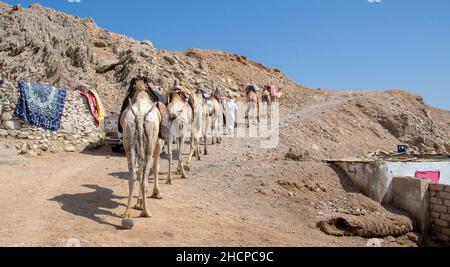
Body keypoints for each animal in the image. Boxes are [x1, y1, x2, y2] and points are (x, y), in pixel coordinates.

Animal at [119, 77, 162, 220]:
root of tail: (140, 115)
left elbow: (139, 170)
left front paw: (137, 202)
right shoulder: (159, 143)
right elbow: (155, 168)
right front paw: (156, 193)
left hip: (129, 138)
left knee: (133, 176)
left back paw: (127, 212)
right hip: (150, 142)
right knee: (144, 176)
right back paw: (145, 212)